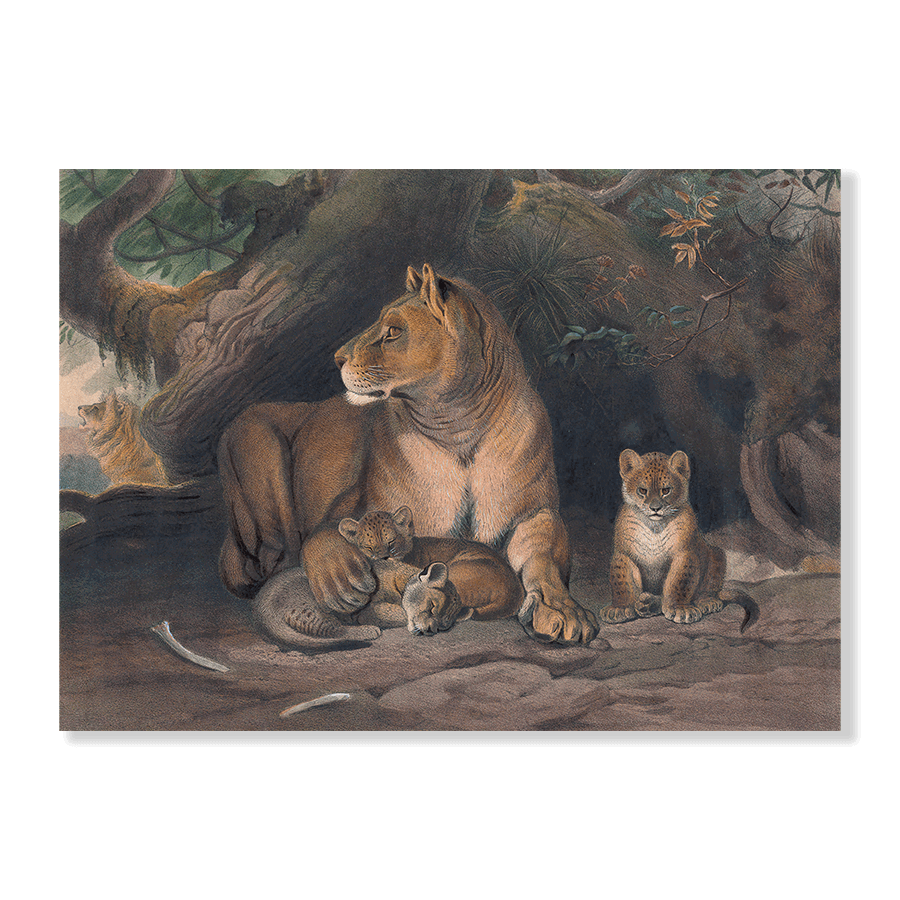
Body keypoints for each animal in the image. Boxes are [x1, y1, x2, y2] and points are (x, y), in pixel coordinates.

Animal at [218, 263, 598, 645]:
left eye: (393, 331)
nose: (337, 358)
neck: (457, 425)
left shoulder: (534, 512)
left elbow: (542, 554)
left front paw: (562, 610)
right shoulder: (354, 503)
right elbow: (327, 531)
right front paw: (343, 578)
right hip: (253, 433)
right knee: (273, 554)